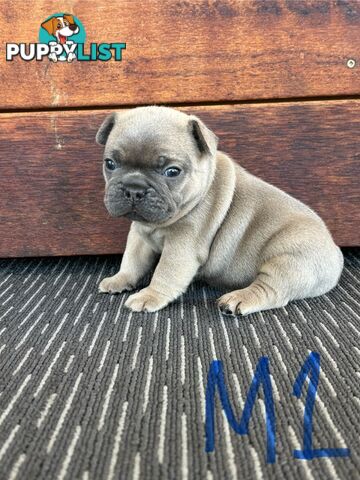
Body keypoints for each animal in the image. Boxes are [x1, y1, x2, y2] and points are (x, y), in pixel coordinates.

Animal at [95, 106, 344, 316]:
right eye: (110, 164)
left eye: (172, 171)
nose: (134, 188)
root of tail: (335, 253)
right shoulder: (139, 236)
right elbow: (131, 260)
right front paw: (120, 279)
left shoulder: (182, 247)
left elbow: (165, 272)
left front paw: (149, 295)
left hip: (289, 261)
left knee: (271, 290)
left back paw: (236, 300)